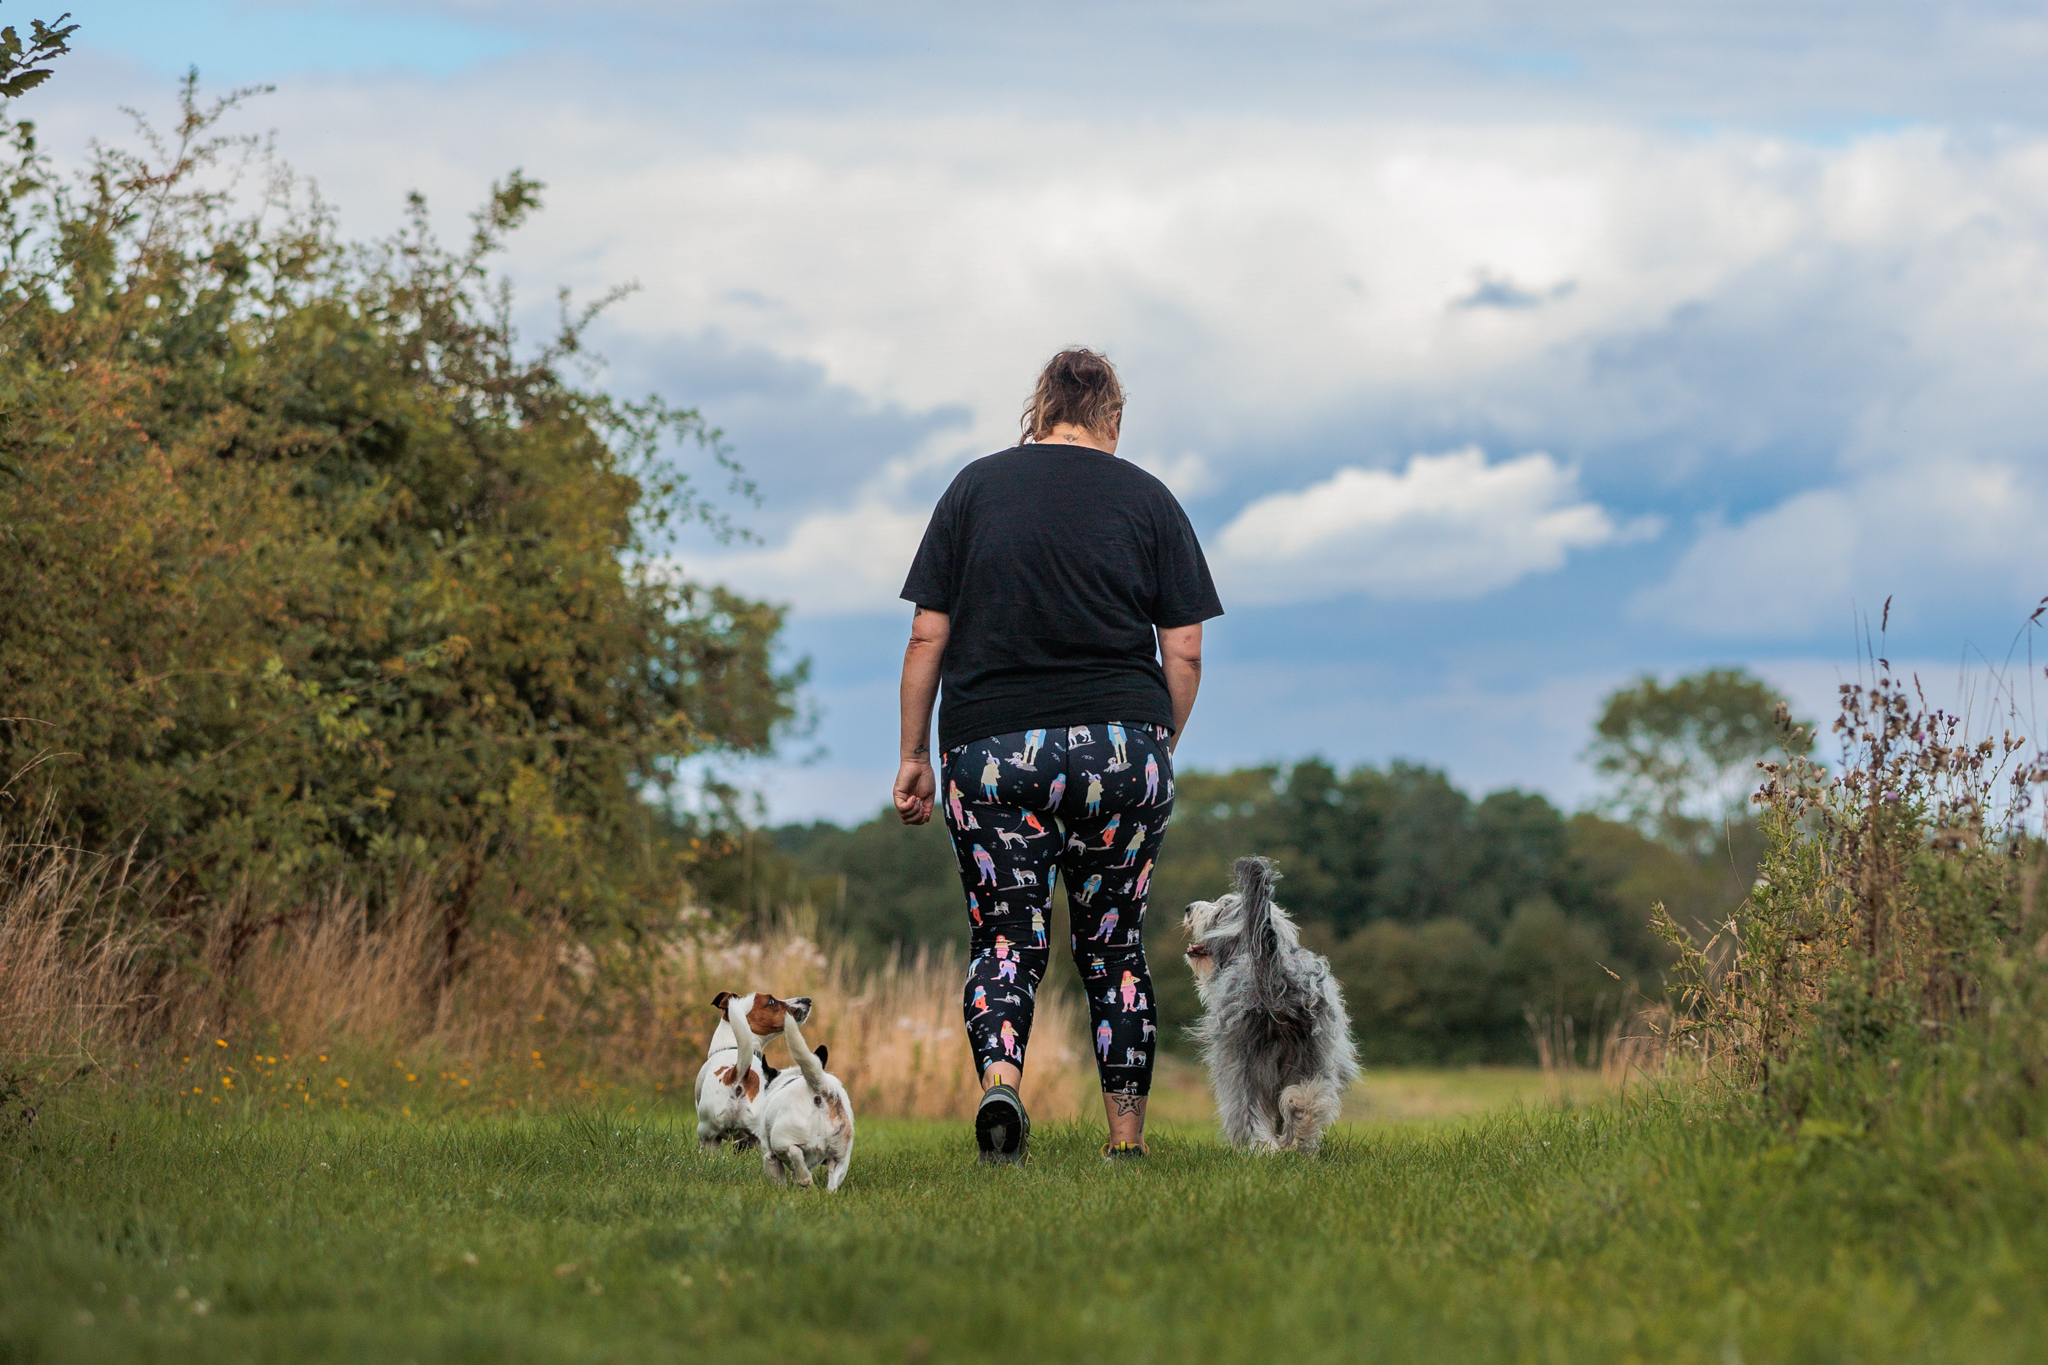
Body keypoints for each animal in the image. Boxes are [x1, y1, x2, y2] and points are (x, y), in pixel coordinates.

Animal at [1187, 859, 1359, 1146]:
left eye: (1219, 910)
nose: (1188, 908)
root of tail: (1276, 978)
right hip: (1314, 1053)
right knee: (1308, 1097)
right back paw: (1298, 1141)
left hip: (1241, 1059)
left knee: (1247, 1108)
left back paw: (1260, 1146)